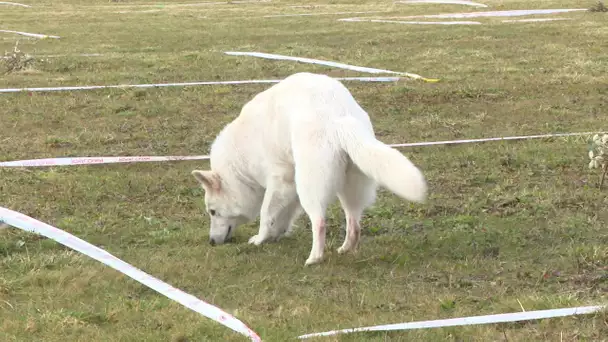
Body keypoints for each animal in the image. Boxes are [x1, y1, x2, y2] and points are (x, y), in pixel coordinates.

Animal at [192, 71, 426, 264]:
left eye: (212, 211)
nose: (211, 242)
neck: (239, 164)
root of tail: (338, 119)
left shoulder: (279, 182)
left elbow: (266, 213)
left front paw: (260, 238)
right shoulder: (289, 187)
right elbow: (282, 215)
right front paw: (276, 234)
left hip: (310, 186)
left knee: (320, 222)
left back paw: (314, 258)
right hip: (348, 187)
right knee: (354, 223)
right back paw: (346, 248)